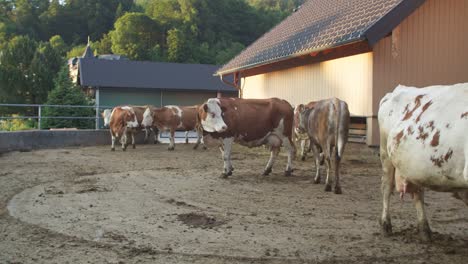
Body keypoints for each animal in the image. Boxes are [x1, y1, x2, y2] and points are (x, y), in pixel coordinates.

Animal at [378, 83, 466, 241]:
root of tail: (398, 88)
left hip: (414, 168)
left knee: (418, 193)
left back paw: (424, 230)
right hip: (385, 155)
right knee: (386, 187)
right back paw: (385, 225)